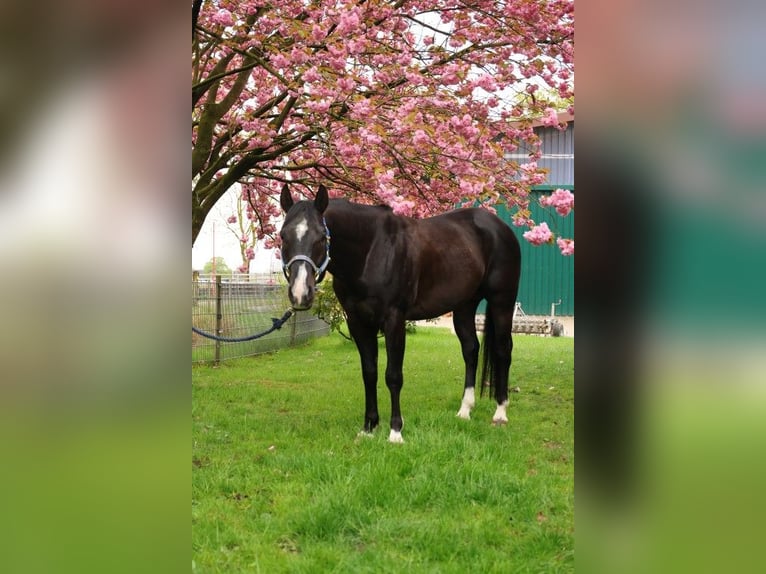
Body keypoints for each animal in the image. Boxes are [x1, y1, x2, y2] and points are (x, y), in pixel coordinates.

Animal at [279, 183, 521, 443]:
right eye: (283, 236)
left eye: (321, 237)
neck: (371, 250)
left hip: (502, 302)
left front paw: (395, 431)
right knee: (470, 350)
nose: (300, 293)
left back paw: (500, 412)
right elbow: (369, 373)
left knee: (503, 351)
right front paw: (369, 427)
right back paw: (465, 410)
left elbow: (393, 376)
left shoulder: (394, 319)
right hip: (465, 305)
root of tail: (499, 227)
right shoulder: (358, 322)